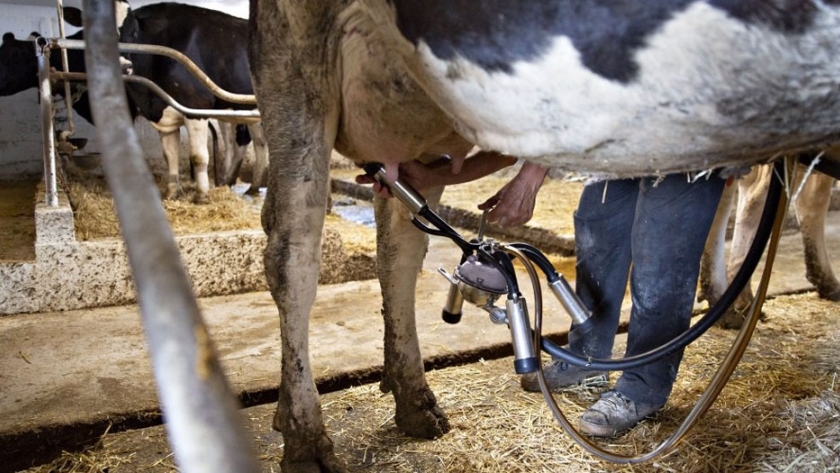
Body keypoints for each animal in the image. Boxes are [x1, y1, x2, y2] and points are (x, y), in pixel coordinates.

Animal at [116, 2, 268, 201]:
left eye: (134, 32)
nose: (123, 66)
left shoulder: (196, 106)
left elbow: (198, 156)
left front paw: (201, 195)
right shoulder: (165, 112)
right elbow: (169, 155)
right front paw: (171, 193)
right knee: (257, 142)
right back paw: (250, 186)